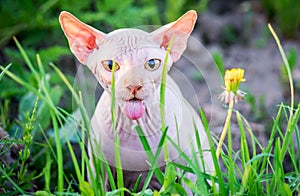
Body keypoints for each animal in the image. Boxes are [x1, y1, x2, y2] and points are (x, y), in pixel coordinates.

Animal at [58, 10, 213, 193]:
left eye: (152, 64)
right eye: (110, 65)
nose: (134, 86)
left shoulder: (190, 167)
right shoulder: (98, 168)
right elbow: (102, 189)